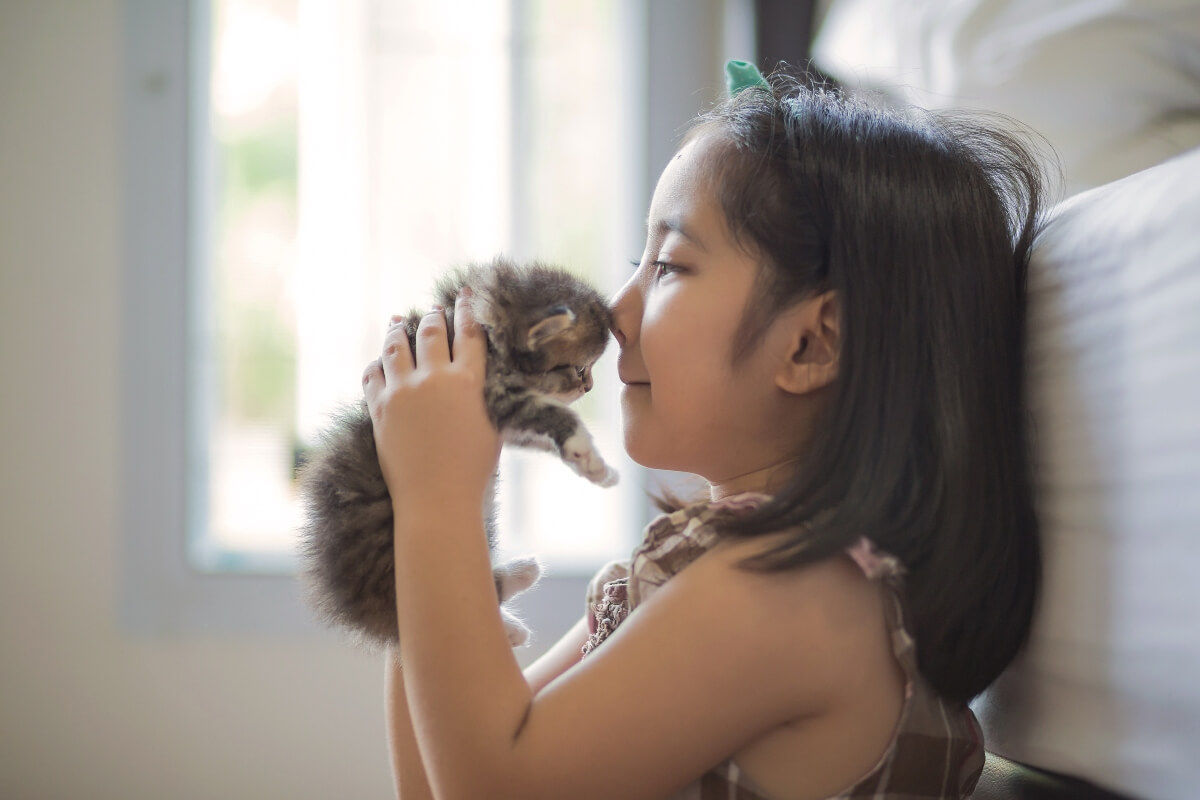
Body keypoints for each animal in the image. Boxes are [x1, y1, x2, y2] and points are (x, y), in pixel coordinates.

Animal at [295, 260, 614, 652]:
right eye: (581, 369)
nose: (590, 387)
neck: (486, 325)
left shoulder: (505, 421)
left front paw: (587, 462)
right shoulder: (499, 395)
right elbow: (557, 414)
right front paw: (590, 456)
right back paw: (520, 593)